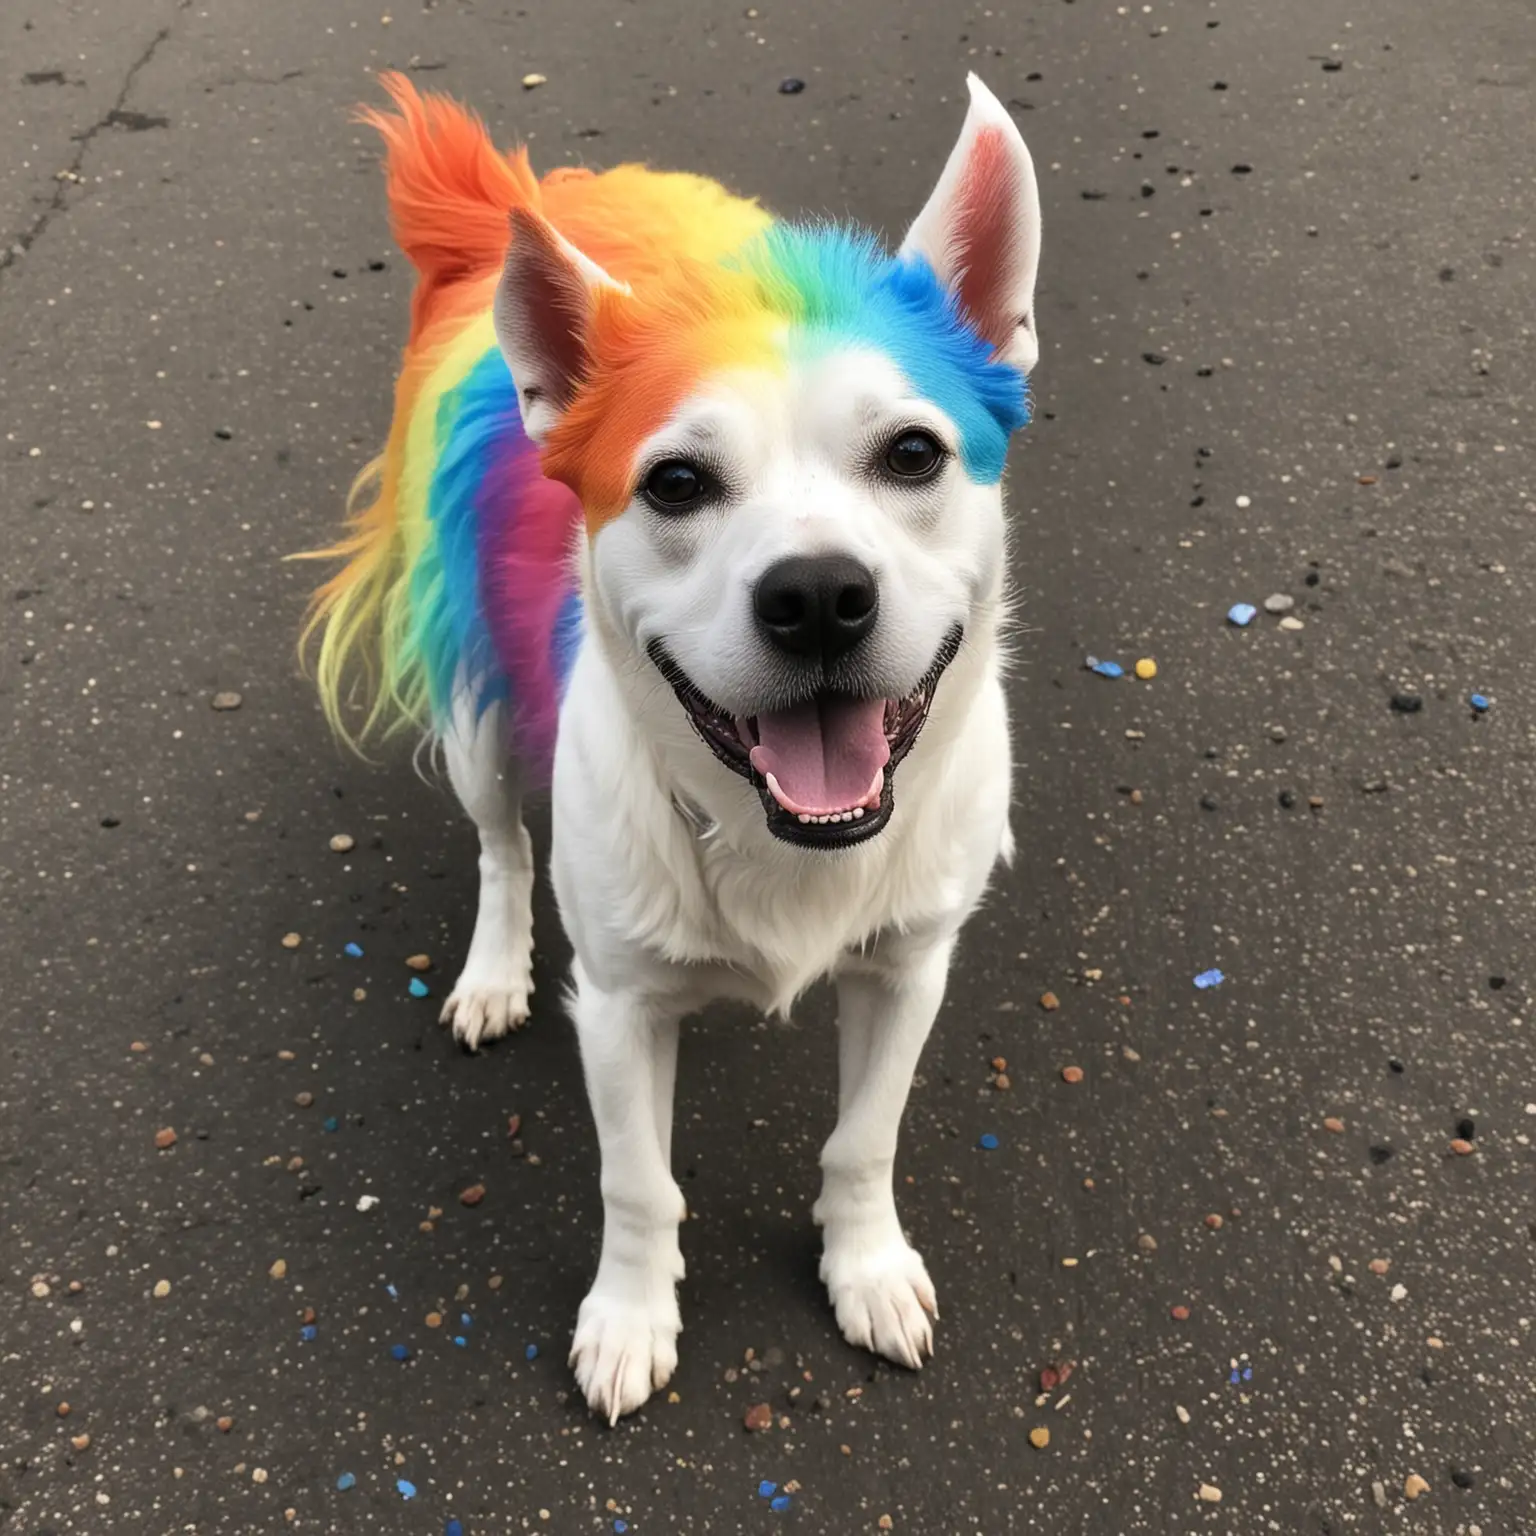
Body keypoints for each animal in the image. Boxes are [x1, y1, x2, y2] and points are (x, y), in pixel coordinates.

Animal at [301, 69, 1044, 1413]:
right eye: (677, 484)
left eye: (913, 452)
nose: (818, 596)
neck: (776, 835)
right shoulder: (619, 1009)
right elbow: (638, 1182)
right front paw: (631, 1313)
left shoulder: (910, 971)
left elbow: (865, 1139)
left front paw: (863, 1263)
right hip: (480, 709)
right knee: (501, 847)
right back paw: (492, 969)